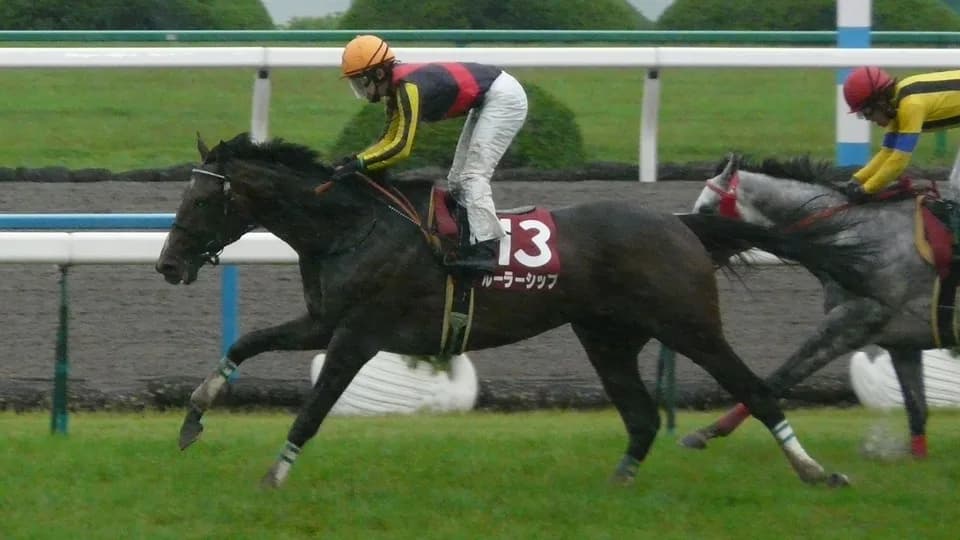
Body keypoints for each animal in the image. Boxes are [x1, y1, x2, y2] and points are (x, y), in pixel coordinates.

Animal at [155, 133, 857, 488]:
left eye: (200, 202)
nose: (166, 263)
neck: (350, 227)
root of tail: (679, 223)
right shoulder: (323, 322)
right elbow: (245, 343)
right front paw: (192, 421)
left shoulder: (359, 332)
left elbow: (316, 405)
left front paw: (274, 475)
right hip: (608, 337)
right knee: (638, 418)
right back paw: (616, 490)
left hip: (688, 324)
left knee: (755, 392)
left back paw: (817, 472)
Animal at [686, 153, 945, 458]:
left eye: (705, 209)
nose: (687, 243)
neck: (858, 240)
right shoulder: (901, 342)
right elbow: (917, 409)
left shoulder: (851, 321)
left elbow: (780, 377)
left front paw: (706, 432)